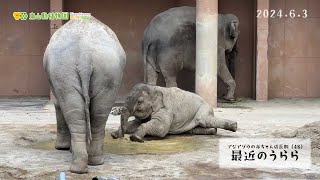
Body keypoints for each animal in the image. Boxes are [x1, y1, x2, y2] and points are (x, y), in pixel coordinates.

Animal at [43, 16, 125, 174]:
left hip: (64, 70)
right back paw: (92, 163)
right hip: (107, 70)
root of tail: (85, 55)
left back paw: (79, 166)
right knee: (98, 113)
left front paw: (62, 148)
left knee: (75, 113)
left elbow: (57, 104)